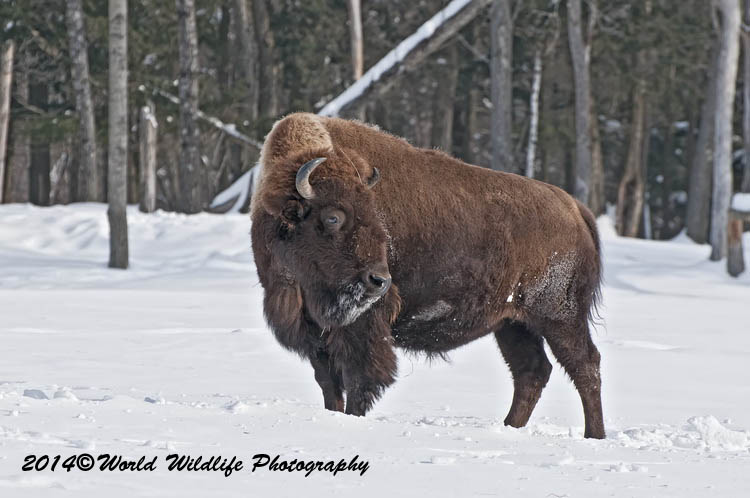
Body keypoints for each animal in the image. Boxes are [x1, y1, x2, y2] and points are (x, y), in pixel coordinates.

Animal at [251, 113, 605, 439]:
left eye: (374, 214)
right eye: (333, 217)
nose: (379, 281)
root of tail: (574, 208)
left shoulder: (362, 328)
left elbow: (360, 380)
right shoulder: (315, 332)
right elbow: (329, 385)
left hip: (559, 317)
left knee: (585, 366)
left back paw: (594, 436)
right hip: (513, 323)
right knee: (532, 371)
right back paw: (508, 428)